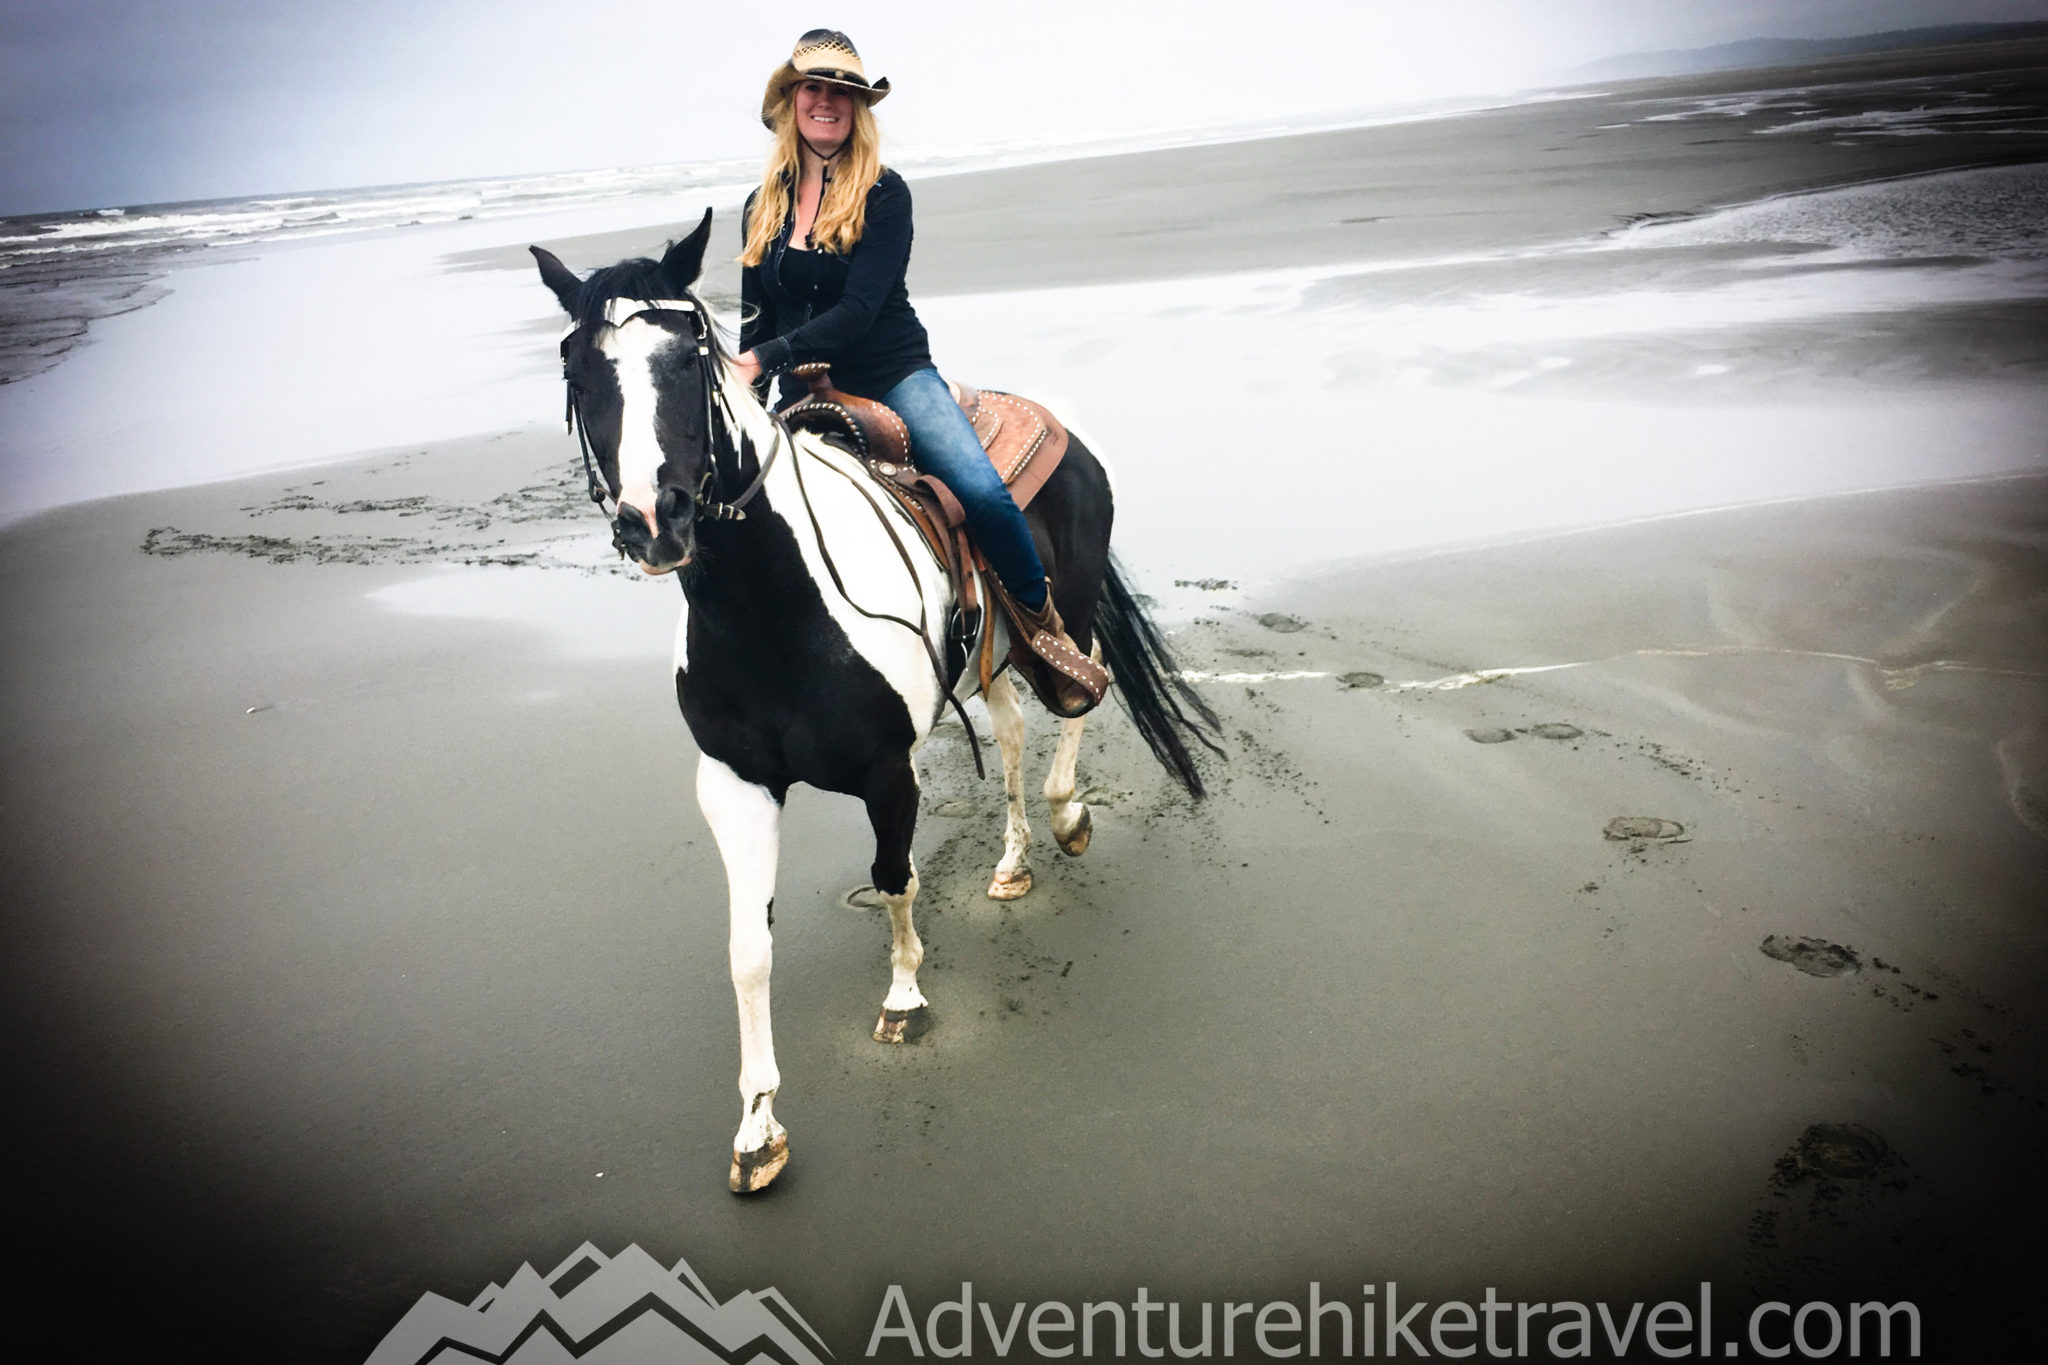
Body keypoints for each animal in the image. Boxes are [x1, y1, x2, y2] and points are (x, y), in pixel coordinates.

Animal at [536, 210, 1220, 1195]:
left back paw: (1067, 815)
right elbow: (748, 950)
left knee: (1080, 692)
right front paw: (758, 1126)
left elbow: (895, 878)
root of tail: (1061, 426)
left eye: (690, 358)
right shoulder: (735, 786)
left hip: (1069, 607)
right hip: (991, 658)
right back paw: (1012, 861)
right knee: (1014, 733)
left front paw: (903, 997)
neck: (775, 609)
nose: (652, 519)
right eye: (577, 372)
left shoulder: (887, 770)